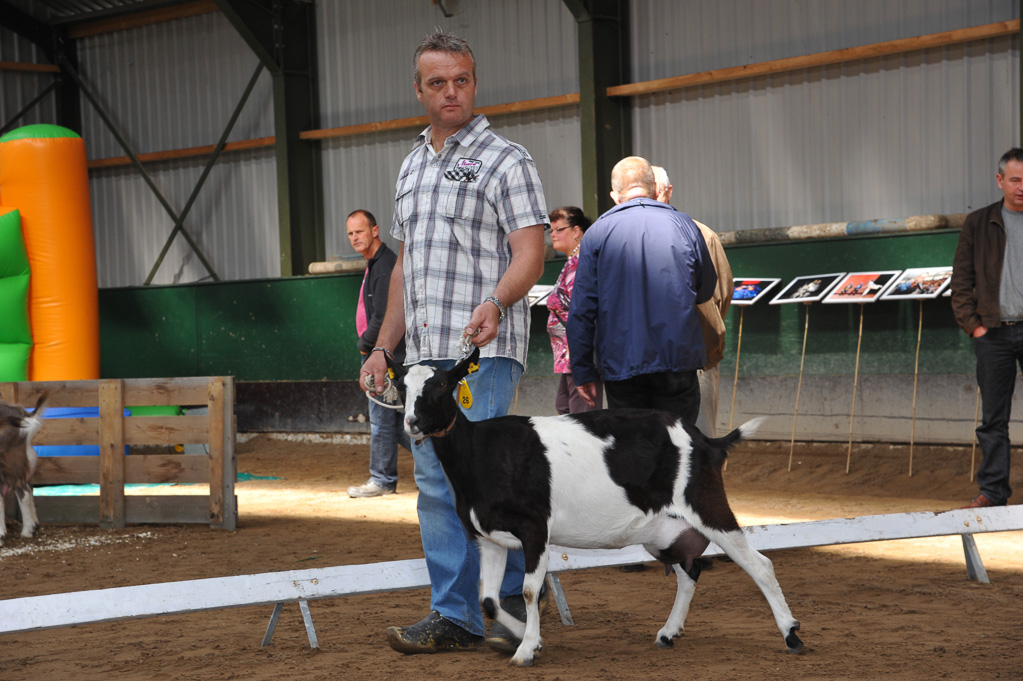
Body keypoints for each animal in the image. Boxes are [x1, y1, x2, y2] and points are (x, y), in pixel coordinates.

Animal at [386, 347, 802, 666]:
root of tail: (706, 441)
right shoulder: (488, 538)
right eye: (401, 385)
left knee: (759, 565)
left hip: (706, 504)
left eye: (442, 385)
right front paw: (525, 637)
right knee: (689, 571)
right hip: (664, 531)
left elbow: (528, 591)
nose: (413, 422)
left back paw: (792, 635)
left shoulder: (535, 530)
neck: (482, 452)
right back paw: (668, 633)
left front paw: (526, 650)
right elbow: (487, 599)